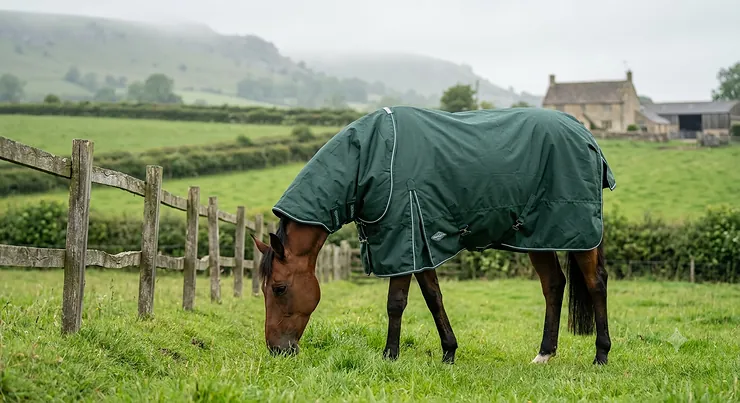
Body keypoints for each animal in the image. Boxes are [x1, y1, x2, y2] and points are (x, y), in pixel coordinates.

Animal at [251, 105, 615, 365]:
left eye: (279, 288)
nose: (277, 350)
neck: (370, 156)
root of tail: (586, 136)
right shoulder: (417, 241)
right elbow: (433, 297)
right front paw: (449, 352)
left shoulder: (403, 237)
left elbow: (396, 303)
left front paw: (390, 356)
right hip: (538, 236)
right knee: (553, 285)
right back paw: (544, 354)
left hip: (579, 232)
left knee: (596, 283)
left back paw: (601, 355)